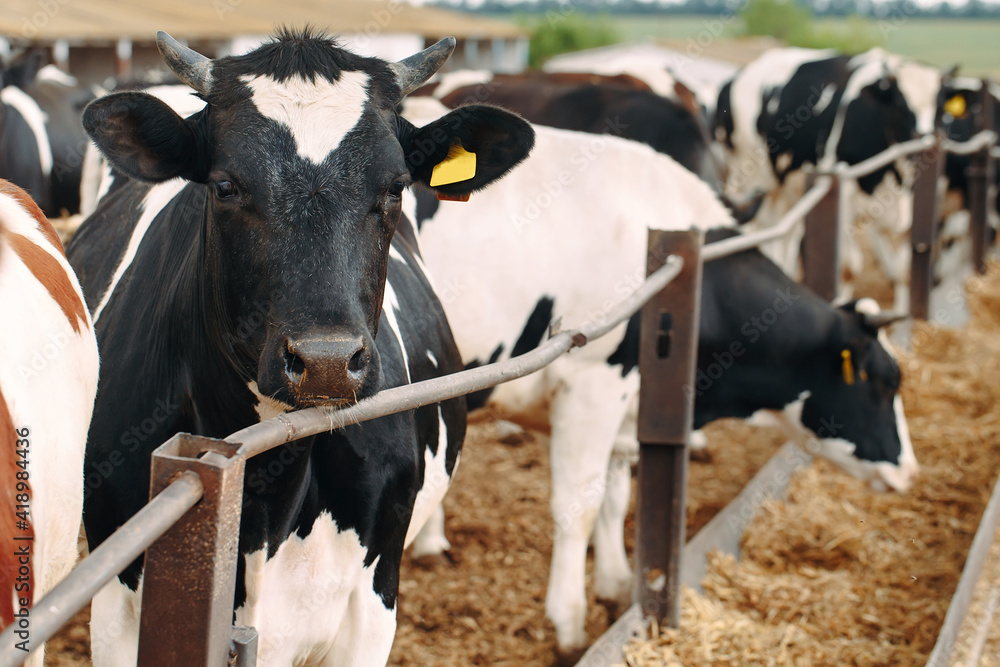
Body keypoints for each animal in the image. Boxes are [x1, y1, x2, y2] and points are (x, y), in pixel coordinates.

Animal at [66, 28, 536, 664]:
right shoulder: (116, 601)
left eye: (395, 188)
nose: (326, 363)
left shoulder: (371, 604)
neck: (265, 491)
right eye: (225, 186)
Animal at [402, 102, 916, 660]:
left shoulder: (629, 400)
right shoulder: (592, 382)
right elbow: (578, 506)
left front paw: (615, 585)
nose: (911, 471)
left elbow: (616, 495)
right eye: (883, 383)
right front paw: (569, 625)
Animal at [716, 47, 940, 314]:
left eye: (940, 104)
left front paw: (904, 319)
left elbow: (904, 271)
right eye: (899, 103)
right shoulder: (843, 199)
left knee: (784, 236)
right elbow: (847, 268)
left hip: (783, 189)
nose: (923, 138)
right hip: (747, 177)